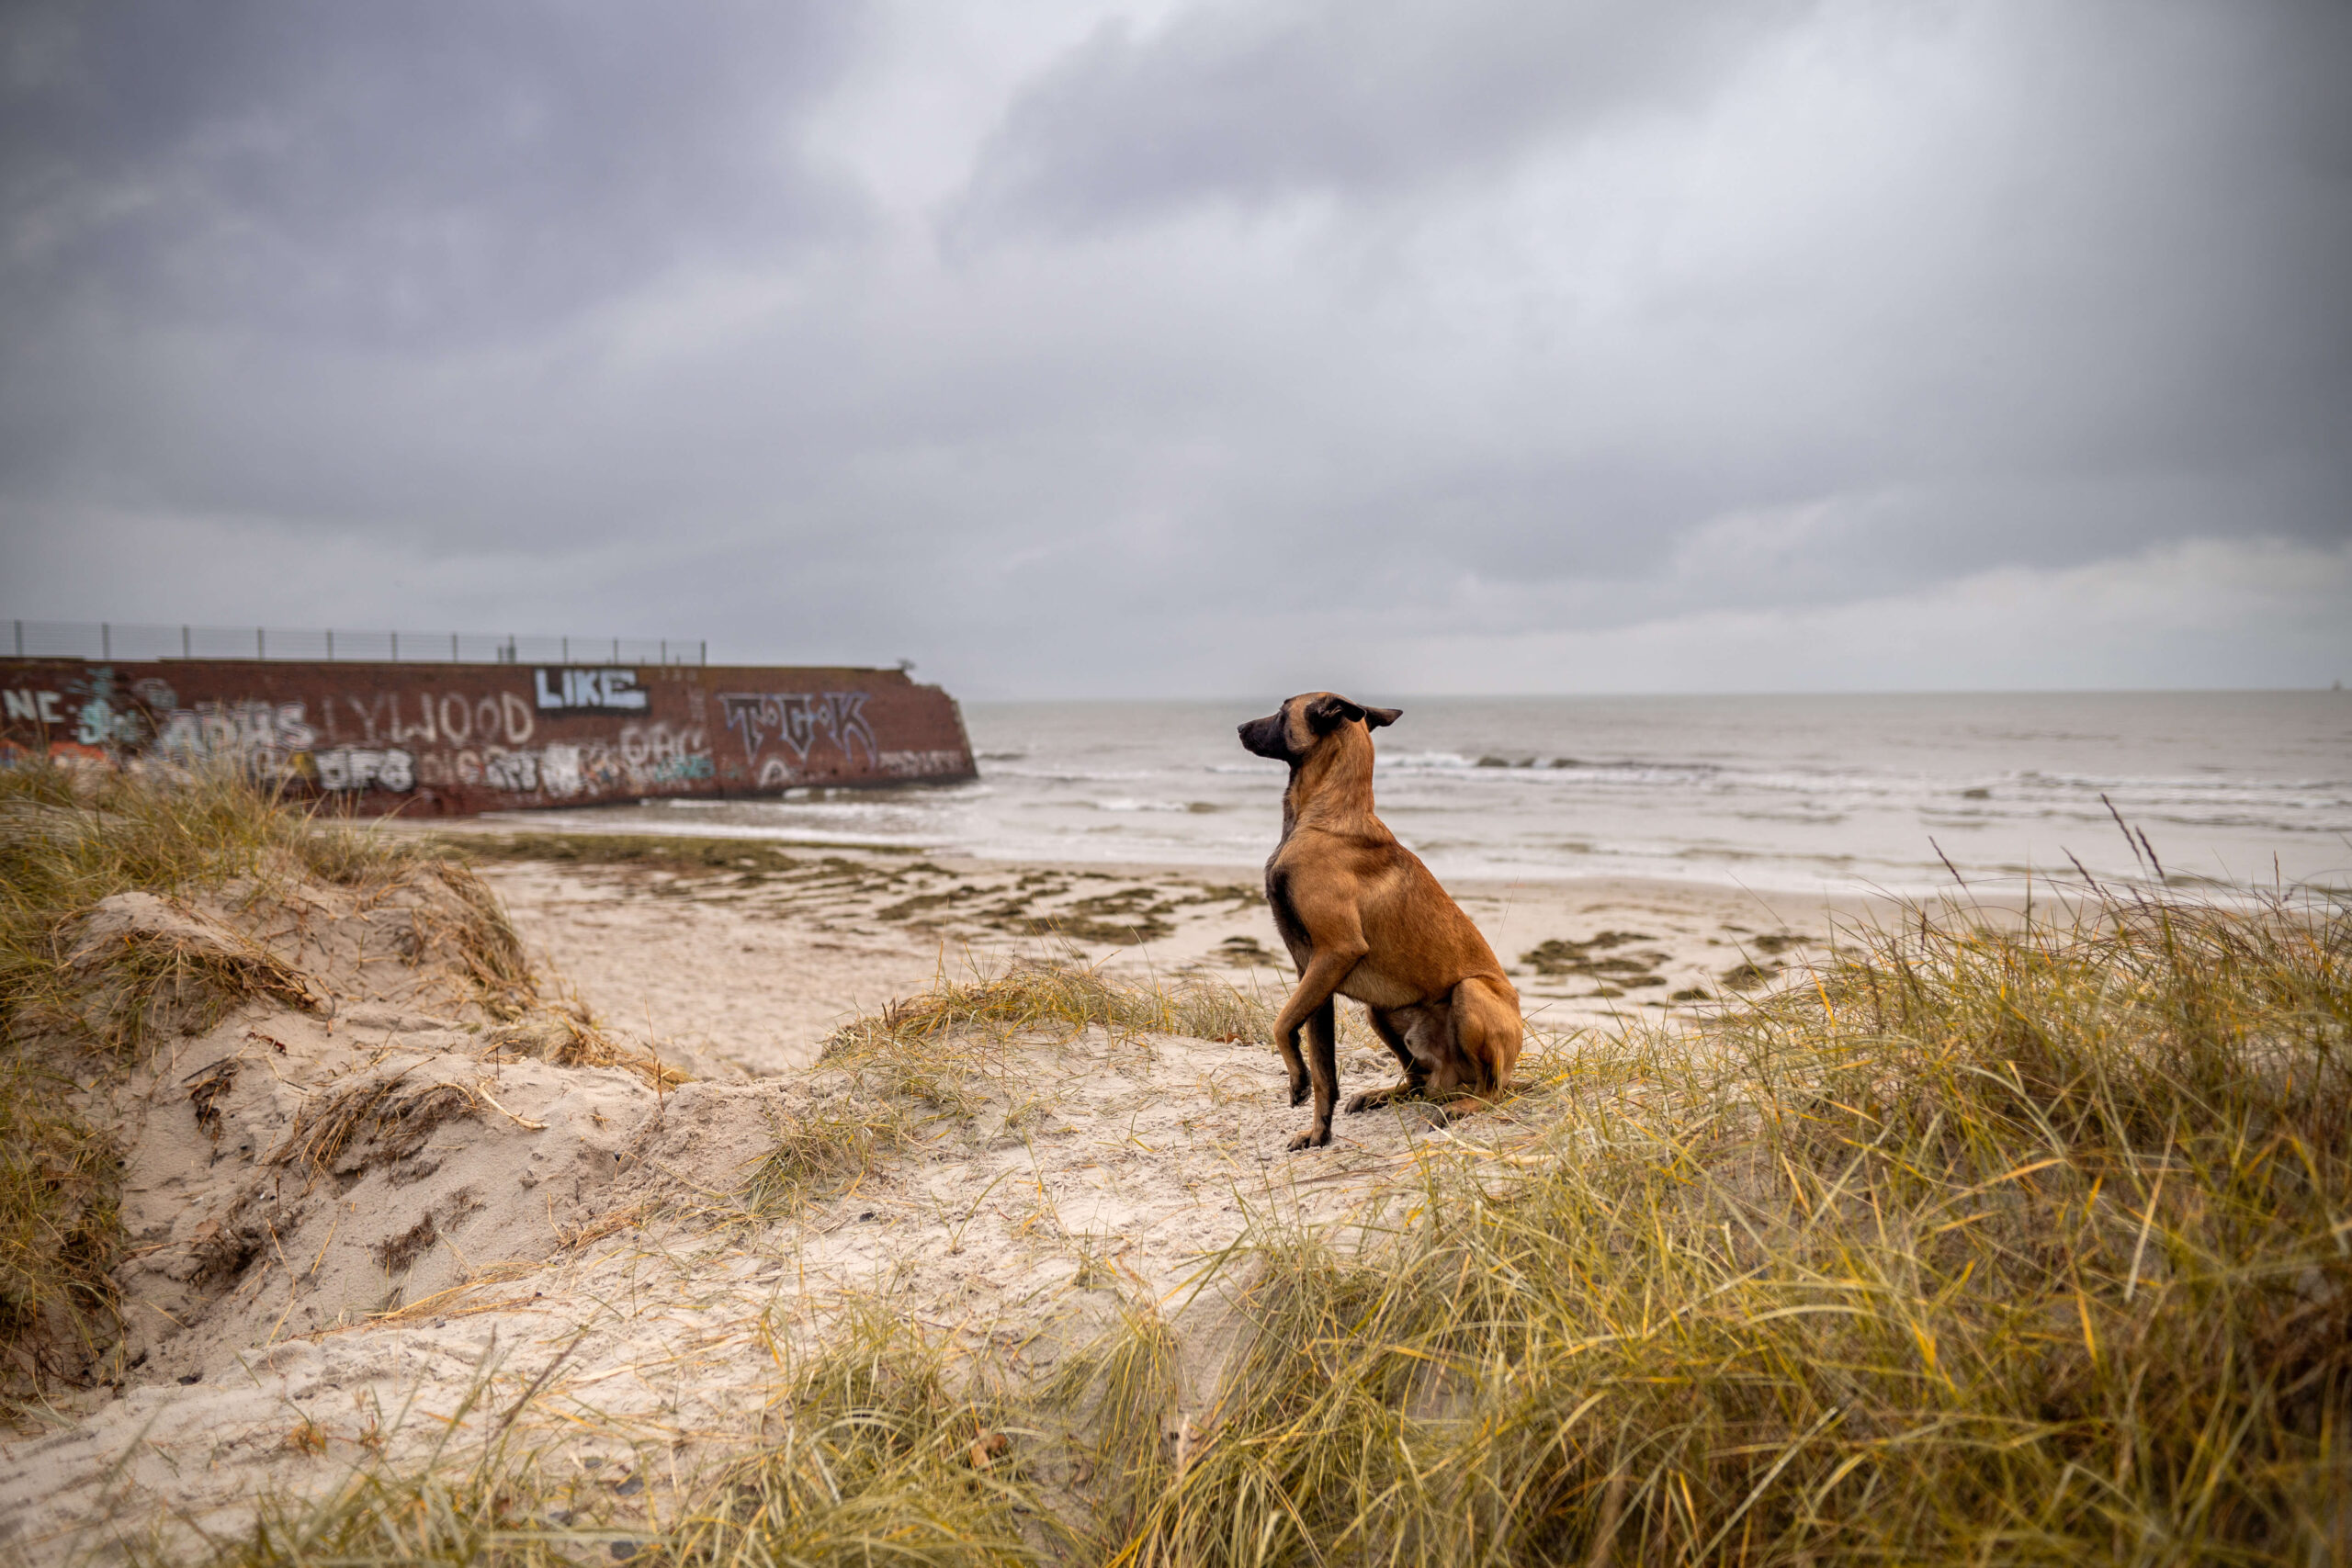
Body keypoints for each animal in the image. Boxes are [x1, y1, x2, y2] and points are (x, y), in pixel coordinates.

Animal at [1232, 691, 1523, 1146]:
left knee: (1490, 1091)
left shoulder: (1334, 953)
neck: (1326, 817)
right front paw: (1319, 1134)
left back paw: (1460, 1107)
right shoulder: (1313, 975)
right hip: (1381, 1011)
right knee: (1419, 1081)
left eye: (1281, 712)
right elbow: (1325, 1070)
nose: (1240, 728)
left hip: (1469, 992)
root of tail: (1452, 1082)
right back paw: (1384, 1094)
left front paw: (1296, 1079)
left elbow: (1282, 1026)